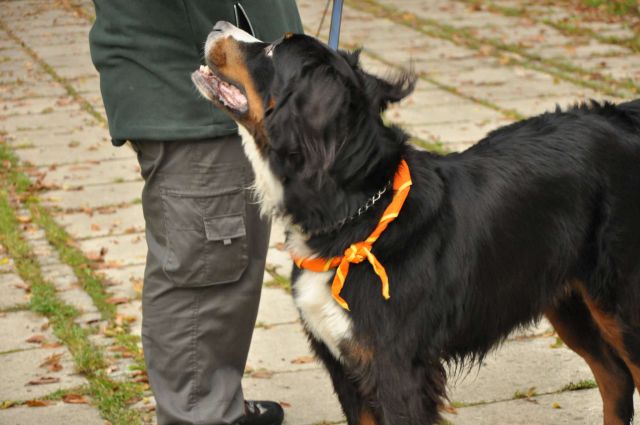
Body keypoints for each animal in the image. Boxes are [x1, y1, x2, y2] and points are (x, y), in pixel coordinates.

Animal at [191, 21, 640, 424]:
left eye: (271, 51)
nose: (216, 24)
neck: (357, 214)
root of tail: (617, 117)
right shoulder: (347, 369)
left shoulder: (398, 371)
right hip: (569, 301)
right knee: (616, 379)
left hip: (618, 303)